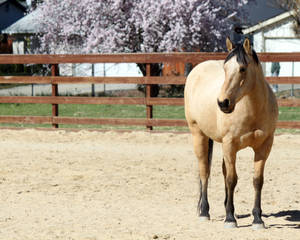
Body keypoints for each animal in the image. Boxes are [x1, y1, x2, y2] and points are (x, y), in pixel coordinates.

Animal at [185, 37, 278, 229]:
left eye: (242, 69)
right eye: (225, 68)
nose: (223, 103)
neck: (252, 110)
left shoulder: (264, 147)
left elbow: (257, 180)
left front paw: (257, 219)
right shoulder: (230, 145)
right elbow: (231, 179)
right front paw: (229, 218)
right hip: (199, 136)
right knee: (205, 172)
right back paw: (204, 212)